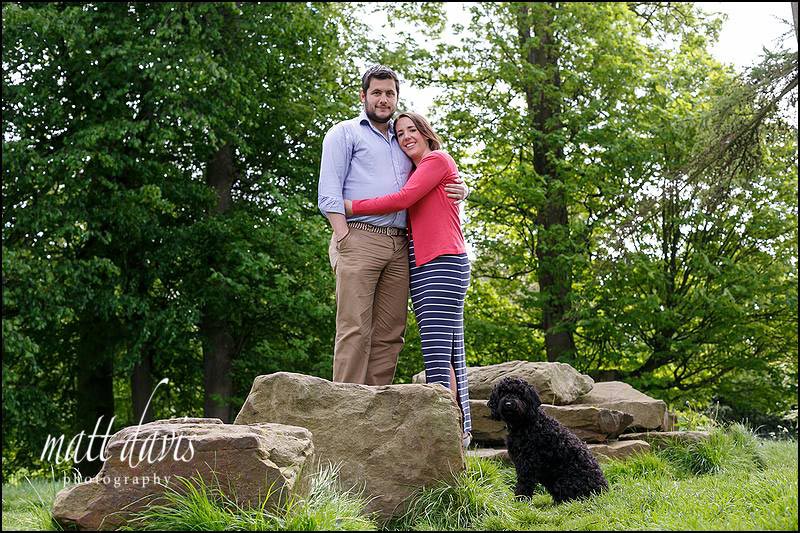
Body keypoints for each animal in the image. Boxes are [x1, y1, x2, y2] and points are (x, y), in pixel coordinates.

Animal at [488, 374, 608, 502]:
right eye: (503, 392)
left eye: (520, 394)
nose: (509, 404)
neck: (525, 424)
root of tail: (603, 490)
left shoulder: (528, 464)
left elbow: (524, 484)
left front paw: (520, 501)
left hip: (562, 482)